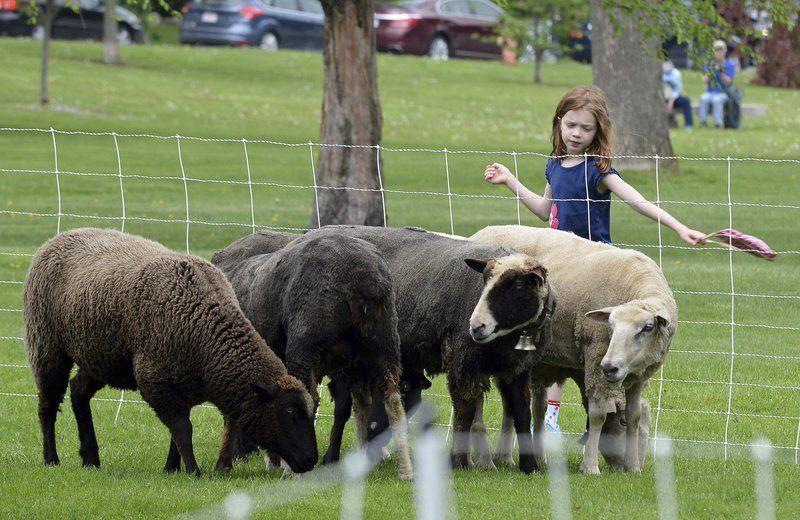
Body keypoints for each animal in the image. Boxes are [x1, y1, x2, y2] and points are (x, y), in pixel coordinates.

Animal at [22, 228, 316, 476]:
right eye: (289, 413)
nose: (311, 460)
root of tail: (59, 238)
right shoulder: (156, 382)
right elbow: (183, 429)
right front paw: (192, 471)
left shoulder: (181, 387)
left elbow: (178, 433)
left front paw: (173, 468)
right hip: (46, 344)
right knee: (47, 404)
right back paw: (51, 459)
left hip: (102, 357)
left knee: (78, 391)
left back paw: (90, 458)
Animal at [209, 232, 416, 480]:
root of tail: (367, 277)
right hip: (382, 344)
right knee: (391, 400)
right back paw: (402, 469)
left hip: (306, 343)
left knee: (310, 397)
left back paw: (293, 471)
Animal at [294, 225, 556, 474]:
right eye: (484, 281)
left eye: (518, 285)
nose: (476, 326)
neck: (513, 335)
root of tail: (311, 234)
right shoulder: (462, 361)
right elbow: (465, 412)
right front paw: (458, 462)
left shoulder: (518, 369)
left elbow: (522, 414)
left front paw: (530, 466)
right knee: (340, 408)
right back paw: (330, 457)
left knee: (361, 405)